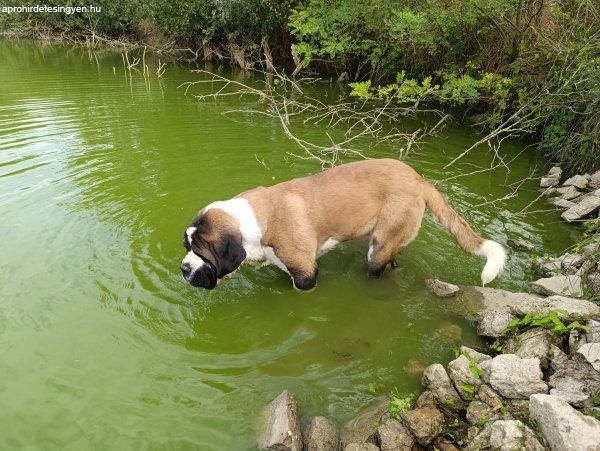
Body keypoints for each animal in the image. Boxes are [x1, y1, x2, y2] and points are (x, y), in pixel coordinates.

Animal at [182, 159, 506, 292]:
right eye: (186, 247)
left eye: (202, 253)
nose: (184, 268)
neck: (255, 221)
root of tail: (418, 179)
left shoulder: (305, 273)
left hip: (378, 248)